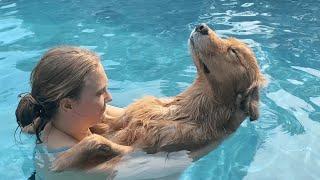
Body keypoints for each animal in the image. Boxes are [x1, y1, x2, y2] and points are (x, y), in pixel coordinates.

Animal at [50, 23, 264, 172]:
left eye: (233, 52)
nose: (202, 26)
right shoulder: (123, 119)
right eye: (228, 43)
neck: (188, 105)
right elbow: (106, 125)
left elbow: (96, 140)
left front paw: (61, 161)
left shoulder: (143, 149)